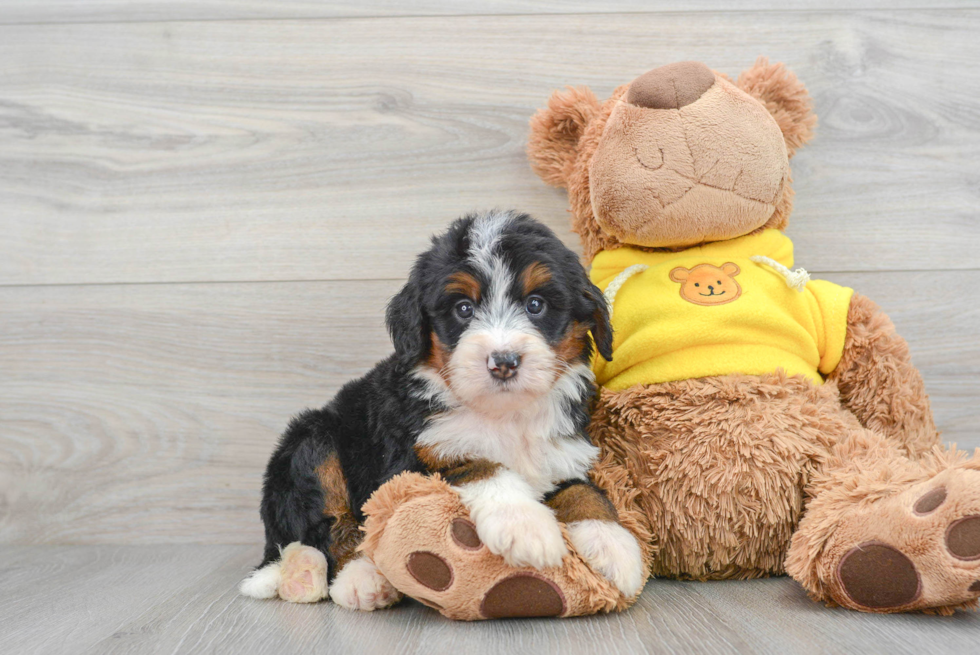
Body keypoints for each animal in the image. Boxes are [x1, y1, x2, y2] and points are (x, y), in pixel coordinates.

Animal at [241, 210, 648, 608]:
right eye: (463, 309)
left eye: (536, 304)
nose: (503, 362)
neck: (505, 414)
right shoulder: (409, 461)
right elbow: (480, 464)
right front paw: (524, 525)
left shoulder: (563, 453)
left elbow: (585, 492)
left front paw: (614, 546)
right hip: (313, 440)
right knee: (327, 527)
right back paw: (350, 579)